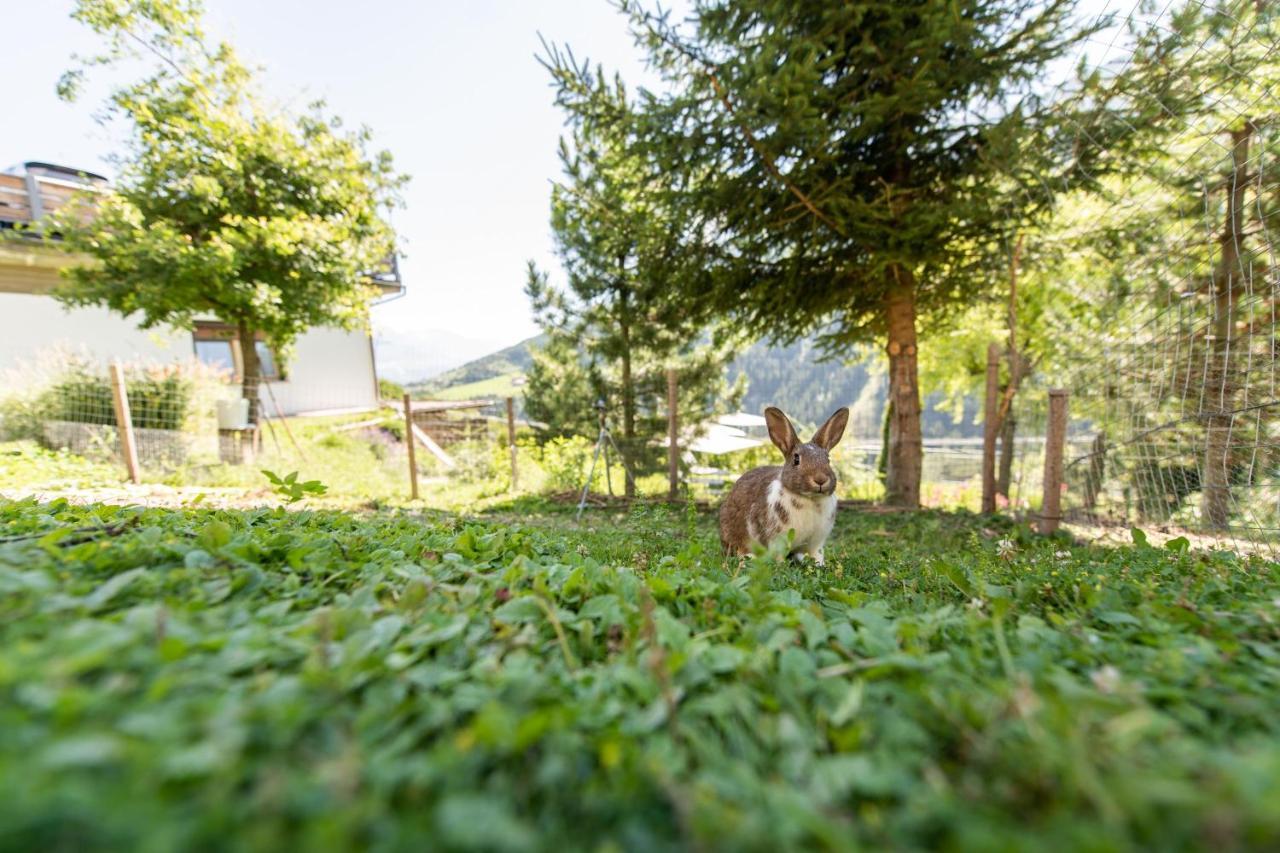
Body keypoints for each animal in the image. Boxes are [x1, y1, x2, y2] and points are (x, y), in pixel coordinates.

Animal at [721, 407, 849, 563]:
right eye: (796, 459)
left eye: (828, 460)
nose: (820, 479)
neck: (810, 498)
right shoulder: (777, 540)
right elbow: (778, 555)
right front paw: (781, 564)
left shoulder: (816, 543)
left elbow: (817, 555)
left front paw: (820, 564)